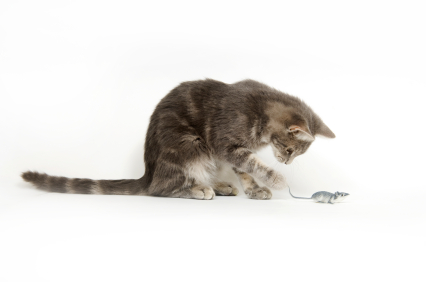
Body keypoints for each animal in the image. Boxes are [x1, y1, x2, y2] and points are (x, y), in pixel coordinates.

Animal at [21, 78, 336, 199]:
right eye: (290, 149)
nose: (286, 161)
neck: (260, 110)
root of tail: (148, 173)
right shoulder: (225, 143)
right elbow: (252, 164)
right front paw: (276, 179)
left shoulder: (231, 151)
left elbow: (244, 170)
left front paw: (255, 189)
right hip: (190, 146)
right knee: (162, 188)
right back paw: (199, 189)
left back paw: (219, 185)